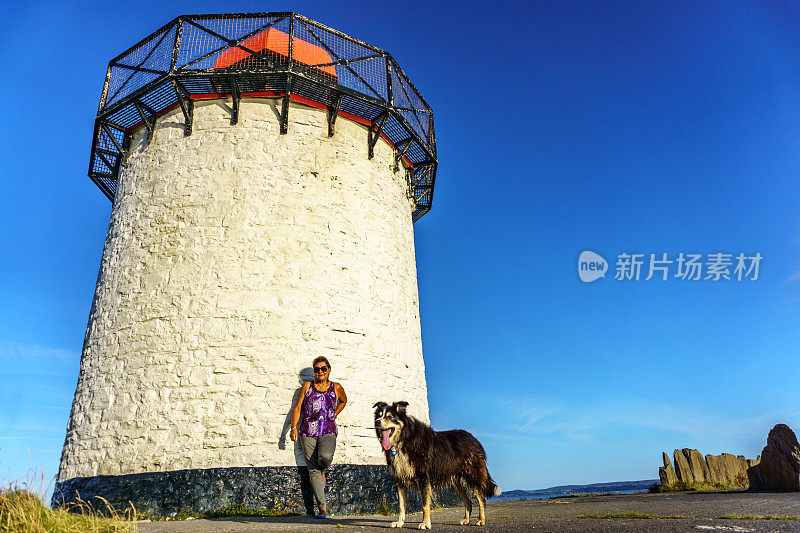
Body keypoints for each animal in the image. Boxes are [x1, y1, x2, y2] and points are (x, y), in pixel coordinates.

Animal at [376, 400, 500, 528]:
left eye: (390, 417)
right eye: (379, 415)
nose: (377, 422)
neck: (404, 439)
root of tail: (475, 440)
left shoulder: (423, 478)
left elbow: (425, 504)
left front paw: (425, 523)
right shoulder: (400, 479)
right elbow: (401, 505)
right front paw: (400, 522)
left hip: (471, 475)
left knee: (481, 498)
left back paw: (481, 520)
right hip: (456, 482)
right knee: (468, 501)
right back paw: (465, 520)